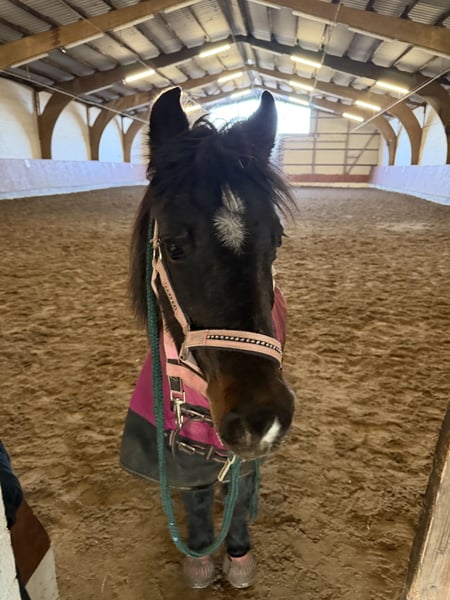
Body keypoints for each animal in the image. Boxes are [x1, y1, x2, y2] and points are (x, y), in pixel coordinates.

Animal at [120, 87, 295, 589]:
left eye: (276, 240)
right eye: (174, 246)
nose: (261, 418)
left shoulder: (244, 454)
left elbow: (240, 489)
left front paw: (237, 555)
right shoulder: (178, 445)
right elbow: (195, 493)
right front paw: (199, 558)